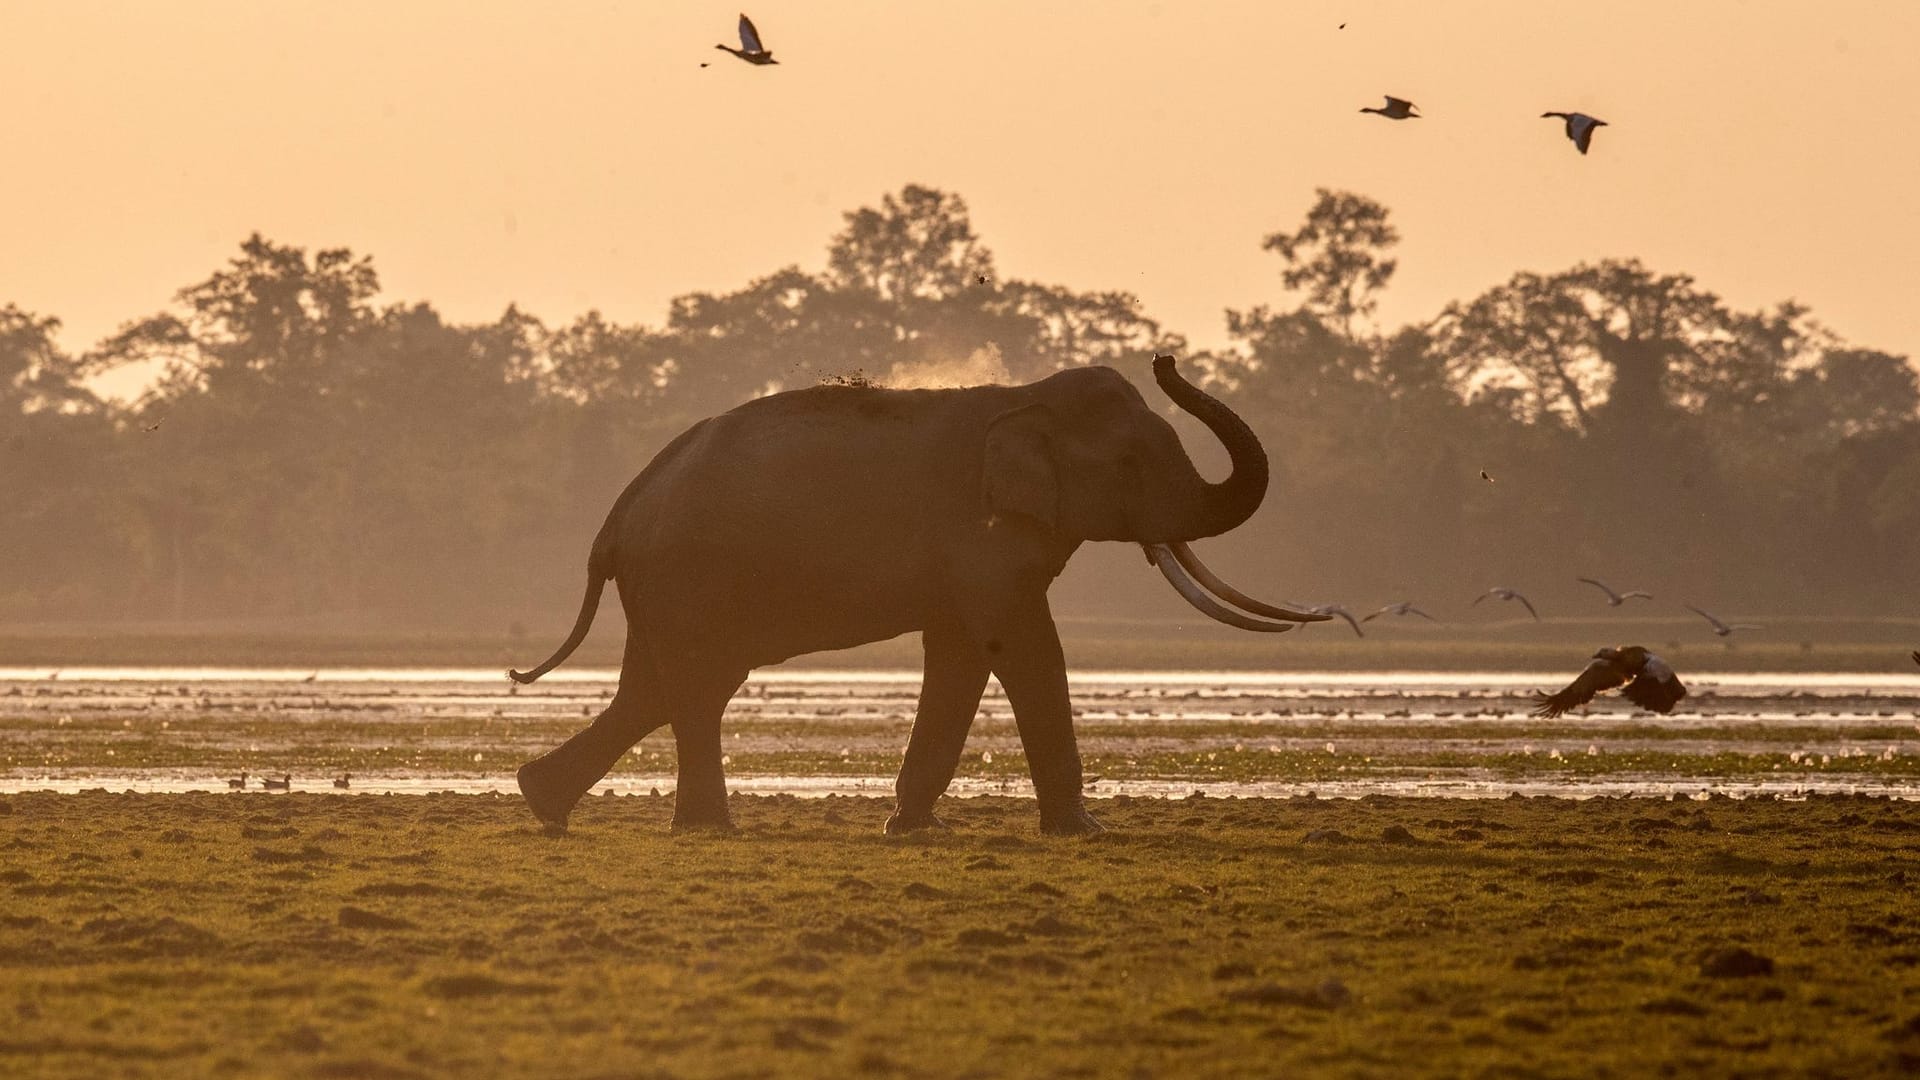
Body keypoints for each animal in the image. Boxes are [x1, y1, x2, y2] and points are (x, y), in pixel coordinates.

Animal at [503, 353, 1328, 834]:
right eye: (1131, 463)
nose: (1166, 357)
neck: (1023, 399)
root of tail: (619, 513)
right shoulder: (982, 534)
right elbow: (1019, 641)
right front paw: (1084, 834)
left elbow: (962, 648)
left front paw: (912, 828)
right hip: (690, 576)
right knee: (696, 686)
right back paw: (701, 828)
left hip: (668, 585)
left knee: (655, 689)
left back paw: (549, 803)